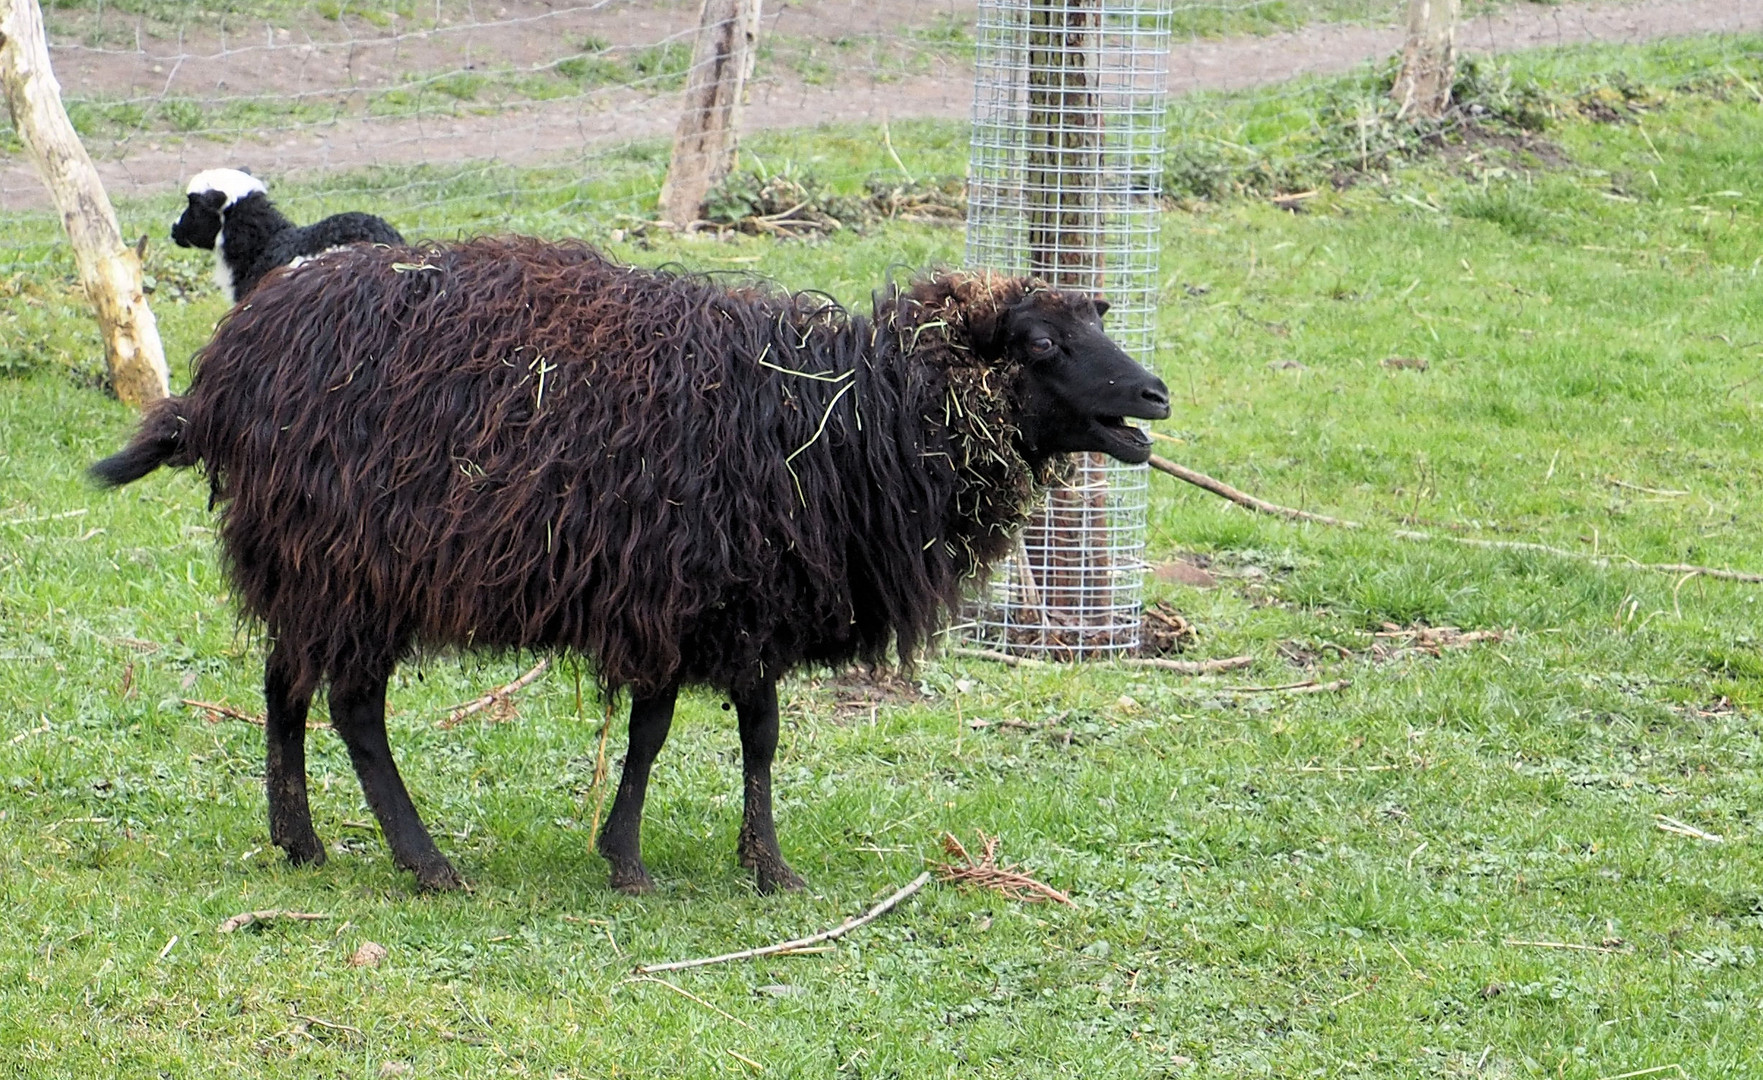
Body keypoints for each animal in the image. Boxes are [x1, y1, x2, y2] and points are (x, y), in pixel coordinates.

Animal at [96, 237, 1170, 891]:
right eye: (1041, 342)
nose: (1154, 395)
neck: (842, 413)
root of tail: (226, 372)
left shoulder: (730, 600)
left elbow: (746, 737)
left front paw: (746, 862)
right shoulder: (679, 593)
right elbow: (673, 735)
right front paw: (647, 862)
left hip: (308, 563)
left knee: (282, 685)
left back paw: (301, 842)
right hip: (364, 564)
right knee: (353, 708)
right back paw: (426, 861)